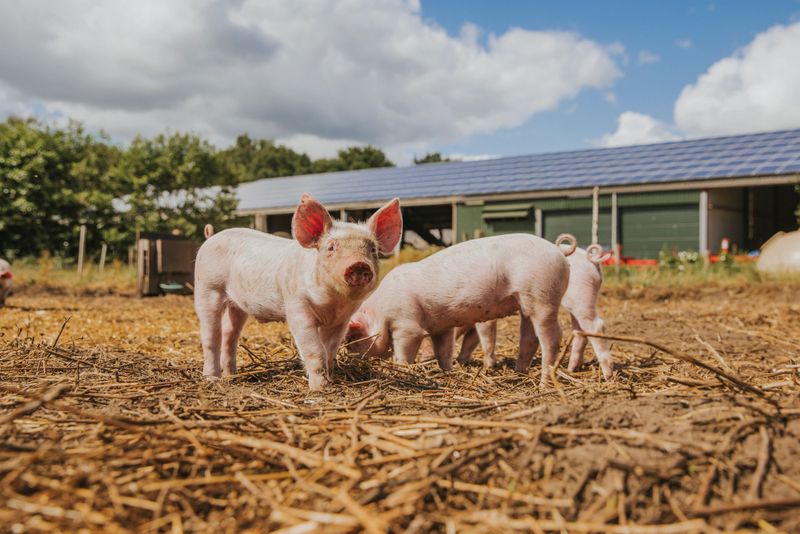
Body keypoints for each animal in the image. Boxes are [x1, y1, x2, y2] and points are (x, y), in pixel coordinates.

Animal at [194, 193, 402, 390]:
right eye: (331, 247)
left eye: (372, 249)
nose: (359, 264)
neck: (333, 304)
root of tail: (211, 237)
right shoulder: (297, 306)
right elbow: (315, 350)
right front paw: (319, 388)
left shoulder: (341, 321)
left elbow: (329, 351)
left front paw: (331, 380)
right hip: (207, 288)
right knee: (211, 336)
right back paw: (212, 379)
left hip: (237, 305)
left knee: (230, 334)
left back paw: (231, 376)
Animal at [346, 233, 576, 383]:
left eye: (353, 337)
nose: (350, 355)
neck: (380, 312)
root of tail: (558, 251)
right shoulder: (442, 327)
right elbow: (444, 351)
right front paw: (448, 371)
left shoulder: (406, 325)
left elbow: (405, 351)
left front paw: (401, 368)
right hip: (527, 302)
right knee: (529, 338)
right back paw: (518, 374)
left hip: (542, 295)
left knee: (553, 337)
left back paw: (544, 382)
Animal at [455, 244, 613, 378]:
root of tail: (591, 260)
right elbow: (471, 339)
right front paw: (462, 359)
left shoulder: (486, 318)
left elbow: (486, 338)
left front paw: (488, 367)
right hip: (575, 304)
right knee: (579, 331)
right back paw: (571, 369)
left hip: (581, 297)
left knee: (596, 325)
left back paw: (607, 375)